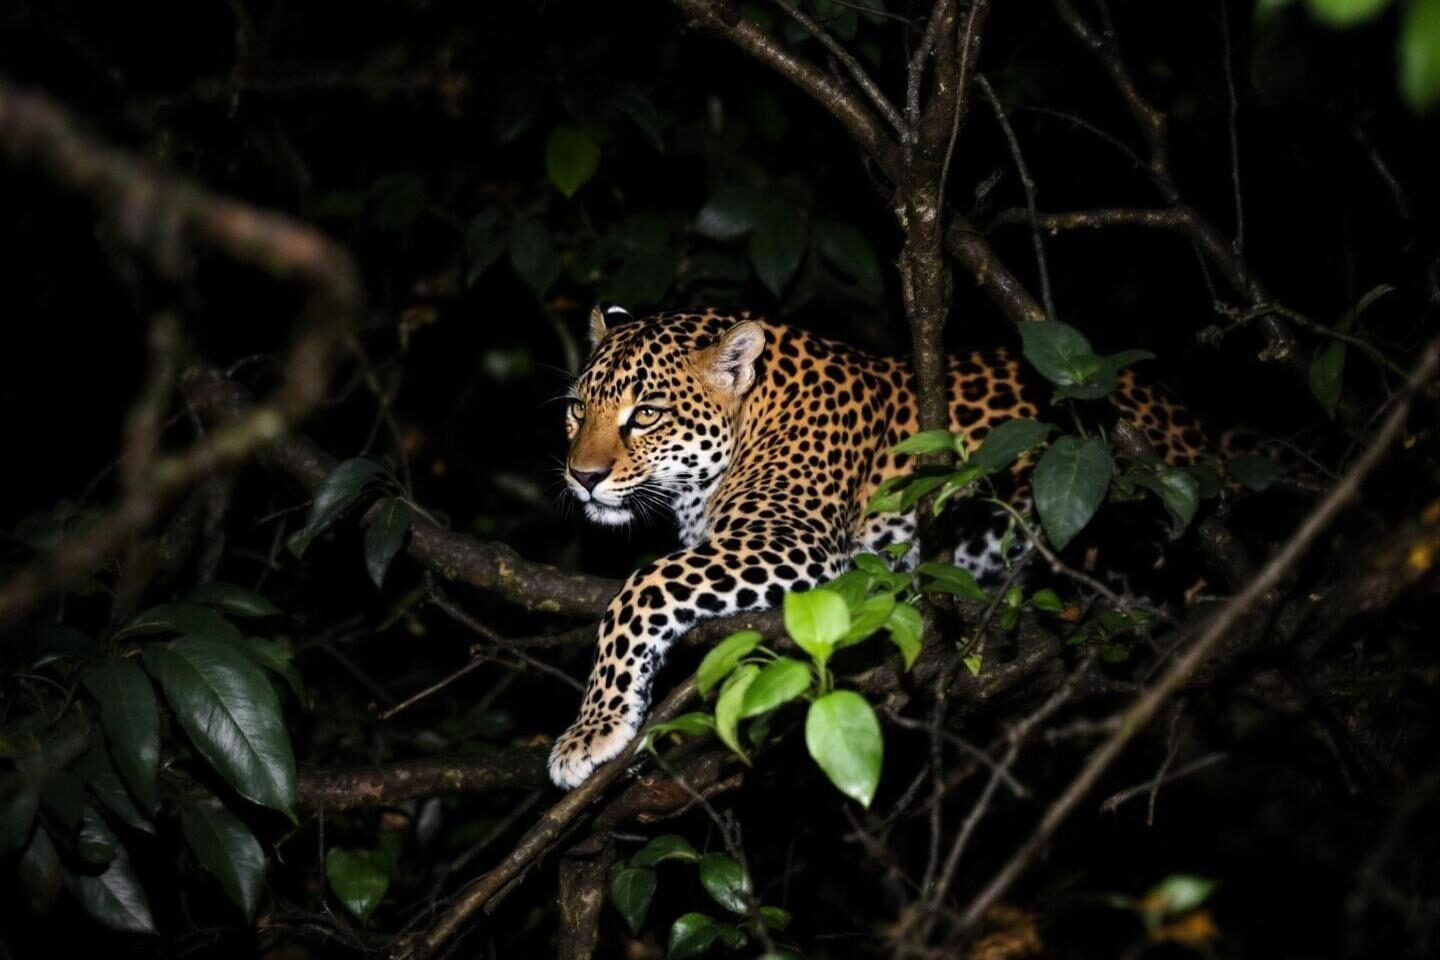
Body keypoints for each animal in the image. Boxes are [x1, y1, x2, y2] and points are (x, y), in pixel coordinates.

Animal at [547, 304, 1212, 788]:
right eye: (578, 408)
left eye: (647, 414)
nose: (582, 476)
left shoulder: (790, 541)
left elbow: (642, 588)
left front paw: (592, 729)